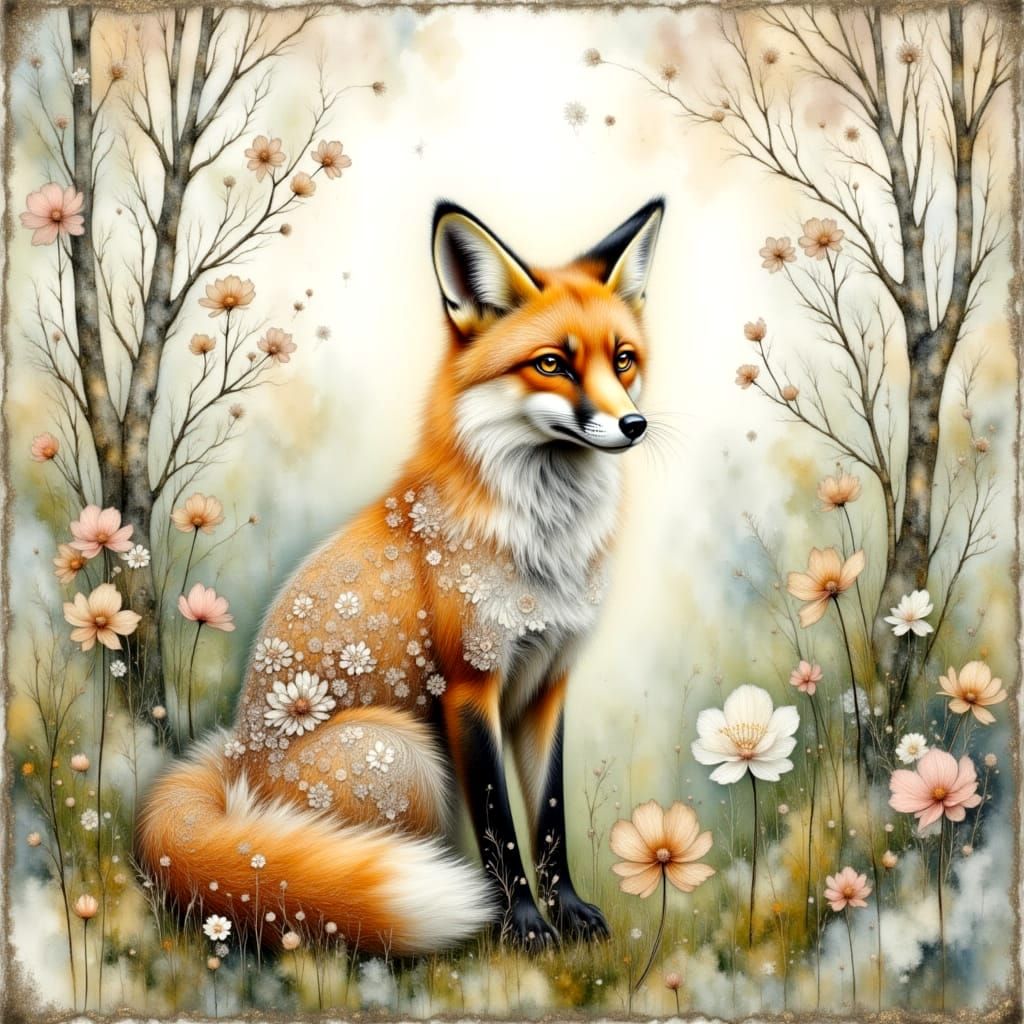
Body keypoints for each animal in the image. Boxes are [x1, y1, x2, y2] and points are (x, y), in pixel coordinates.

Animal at [137, 197, 665, 956]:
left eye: (623, 360)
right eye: (553, 364)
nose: (634, 424)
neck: (545, 548)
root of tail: (235, 762)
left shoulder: (548, 684)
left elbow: (549, 820)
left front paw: (567, 914)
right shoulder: (470, 685)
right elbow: (502, 830)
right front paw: (524, 927)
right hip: (409, 754)